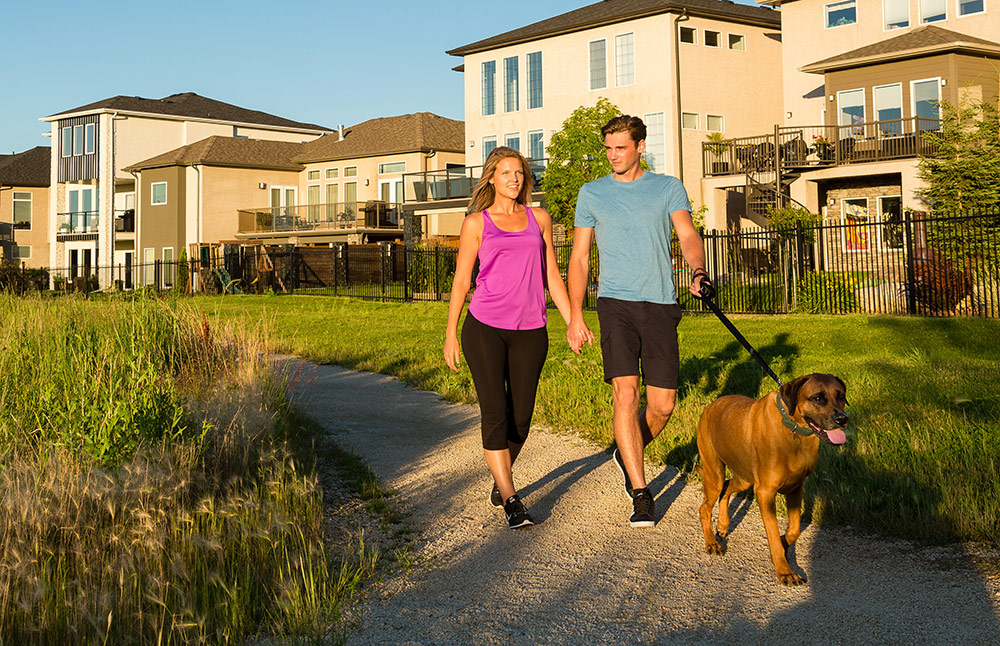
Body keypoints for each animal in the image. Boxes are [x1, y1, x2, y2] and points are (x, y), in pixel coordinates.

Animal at [700, 374, 848, 588]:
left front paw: (783, 543)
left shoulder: (796, 487)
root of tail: (710, 406)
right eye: (818, 398)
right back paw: (711, 542)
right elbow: (773, 533)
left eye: (841, 396)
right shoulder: (765, 492)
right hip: (714, 472)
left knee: (726, 487)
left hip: (744, 478)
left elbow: (794, 529)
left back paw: (723, 525)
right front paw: (785, 571)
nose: (842, 419)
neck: (793, 429)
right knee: (706, 506)